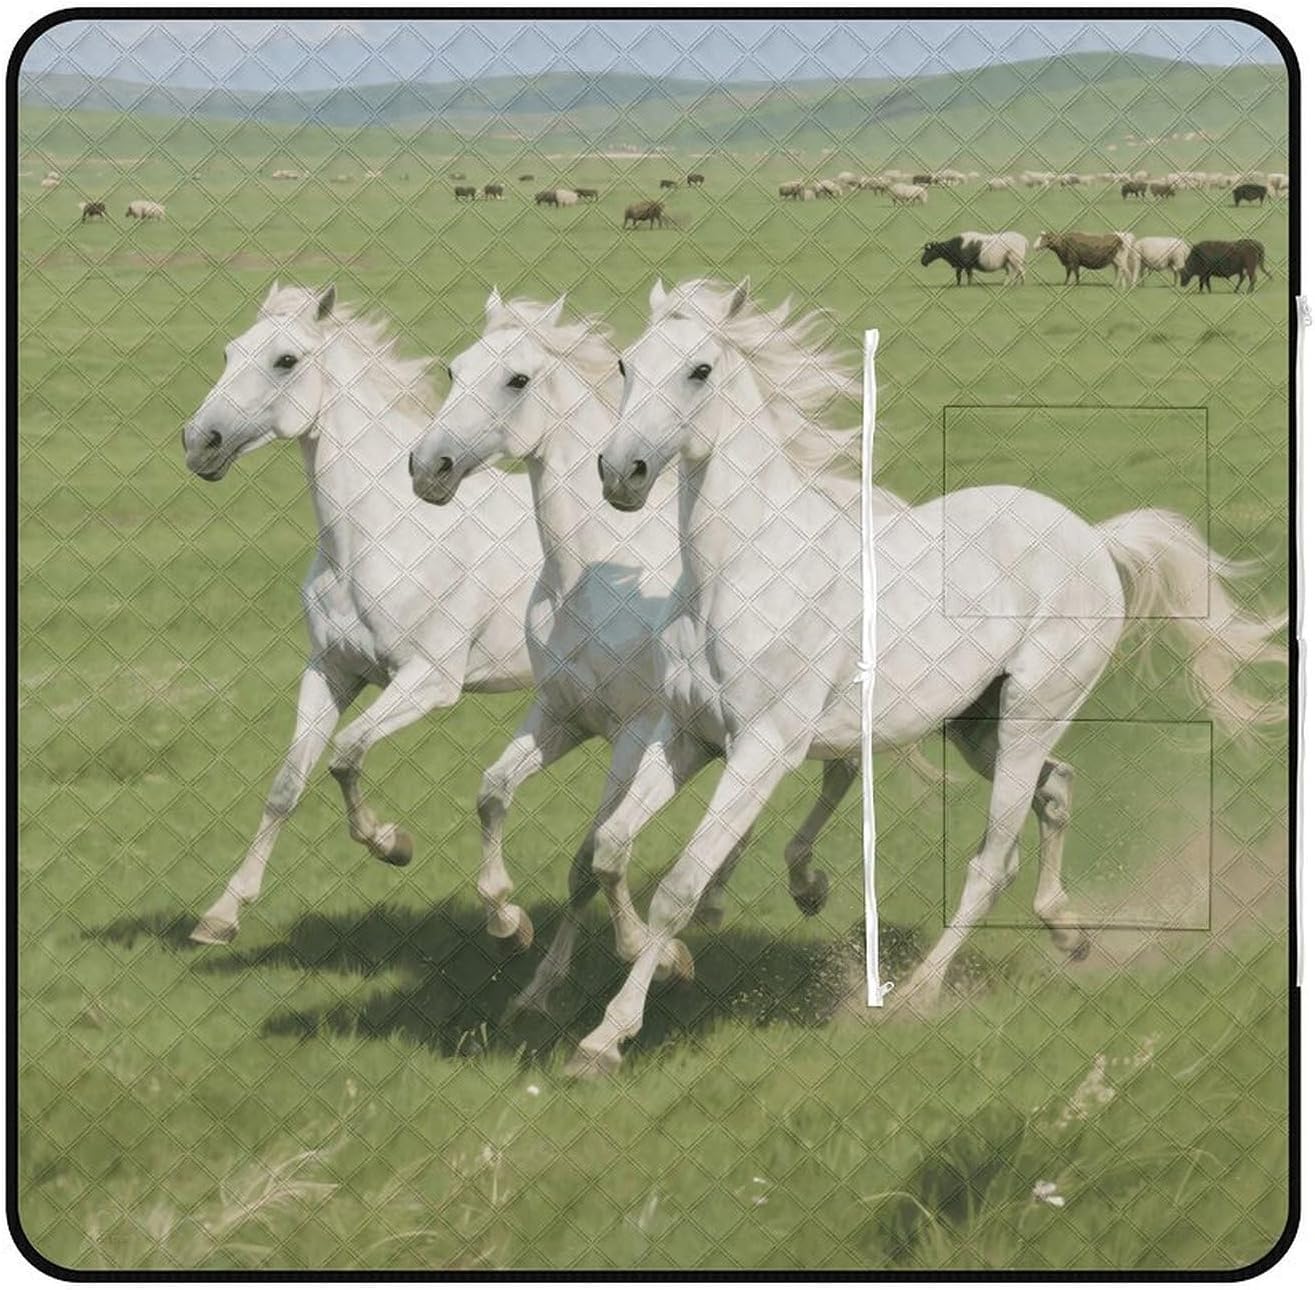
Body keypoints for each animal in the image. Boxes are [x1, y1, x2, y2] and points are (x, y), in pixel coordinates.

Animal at [180, 284, 542, 946]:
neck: (378, 532)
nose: (200, 442)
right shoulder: (332, 671)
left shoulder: (428, 681)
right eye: (229, 352)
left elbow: (346, 754)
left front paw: (392, 844)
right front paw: (222, 915)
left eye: (286, 360)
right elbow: (287, 784)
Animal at [409, 293, 893, 1013]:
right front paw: (516, 942)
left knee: (835, 773)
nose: (427, 468)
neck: (588, 575)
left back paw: (792, 888)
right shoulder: (561, 715)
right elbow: (495, 794)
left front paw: (656, 959)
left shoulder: (634, 734)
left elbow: (591, 860)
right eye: (453, 370)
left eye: (516, 380)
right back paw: (741, 894)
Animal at [572, 277, 1282, 1076]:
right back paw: (1067, 931)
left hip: (1032, 714)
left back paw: (917, 996)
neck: (742, 573)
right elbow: (609, 850)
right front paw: (661, 961)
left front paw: (607, 1038)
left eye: (699, 370)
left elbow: (681, 886)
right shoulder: (689, 736)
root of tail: (1095, 539)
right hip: (977, 729)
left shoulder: (761, 750)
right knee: (1053, 794)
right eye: (625, 365)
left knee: (989, 864)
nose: (620, 474)